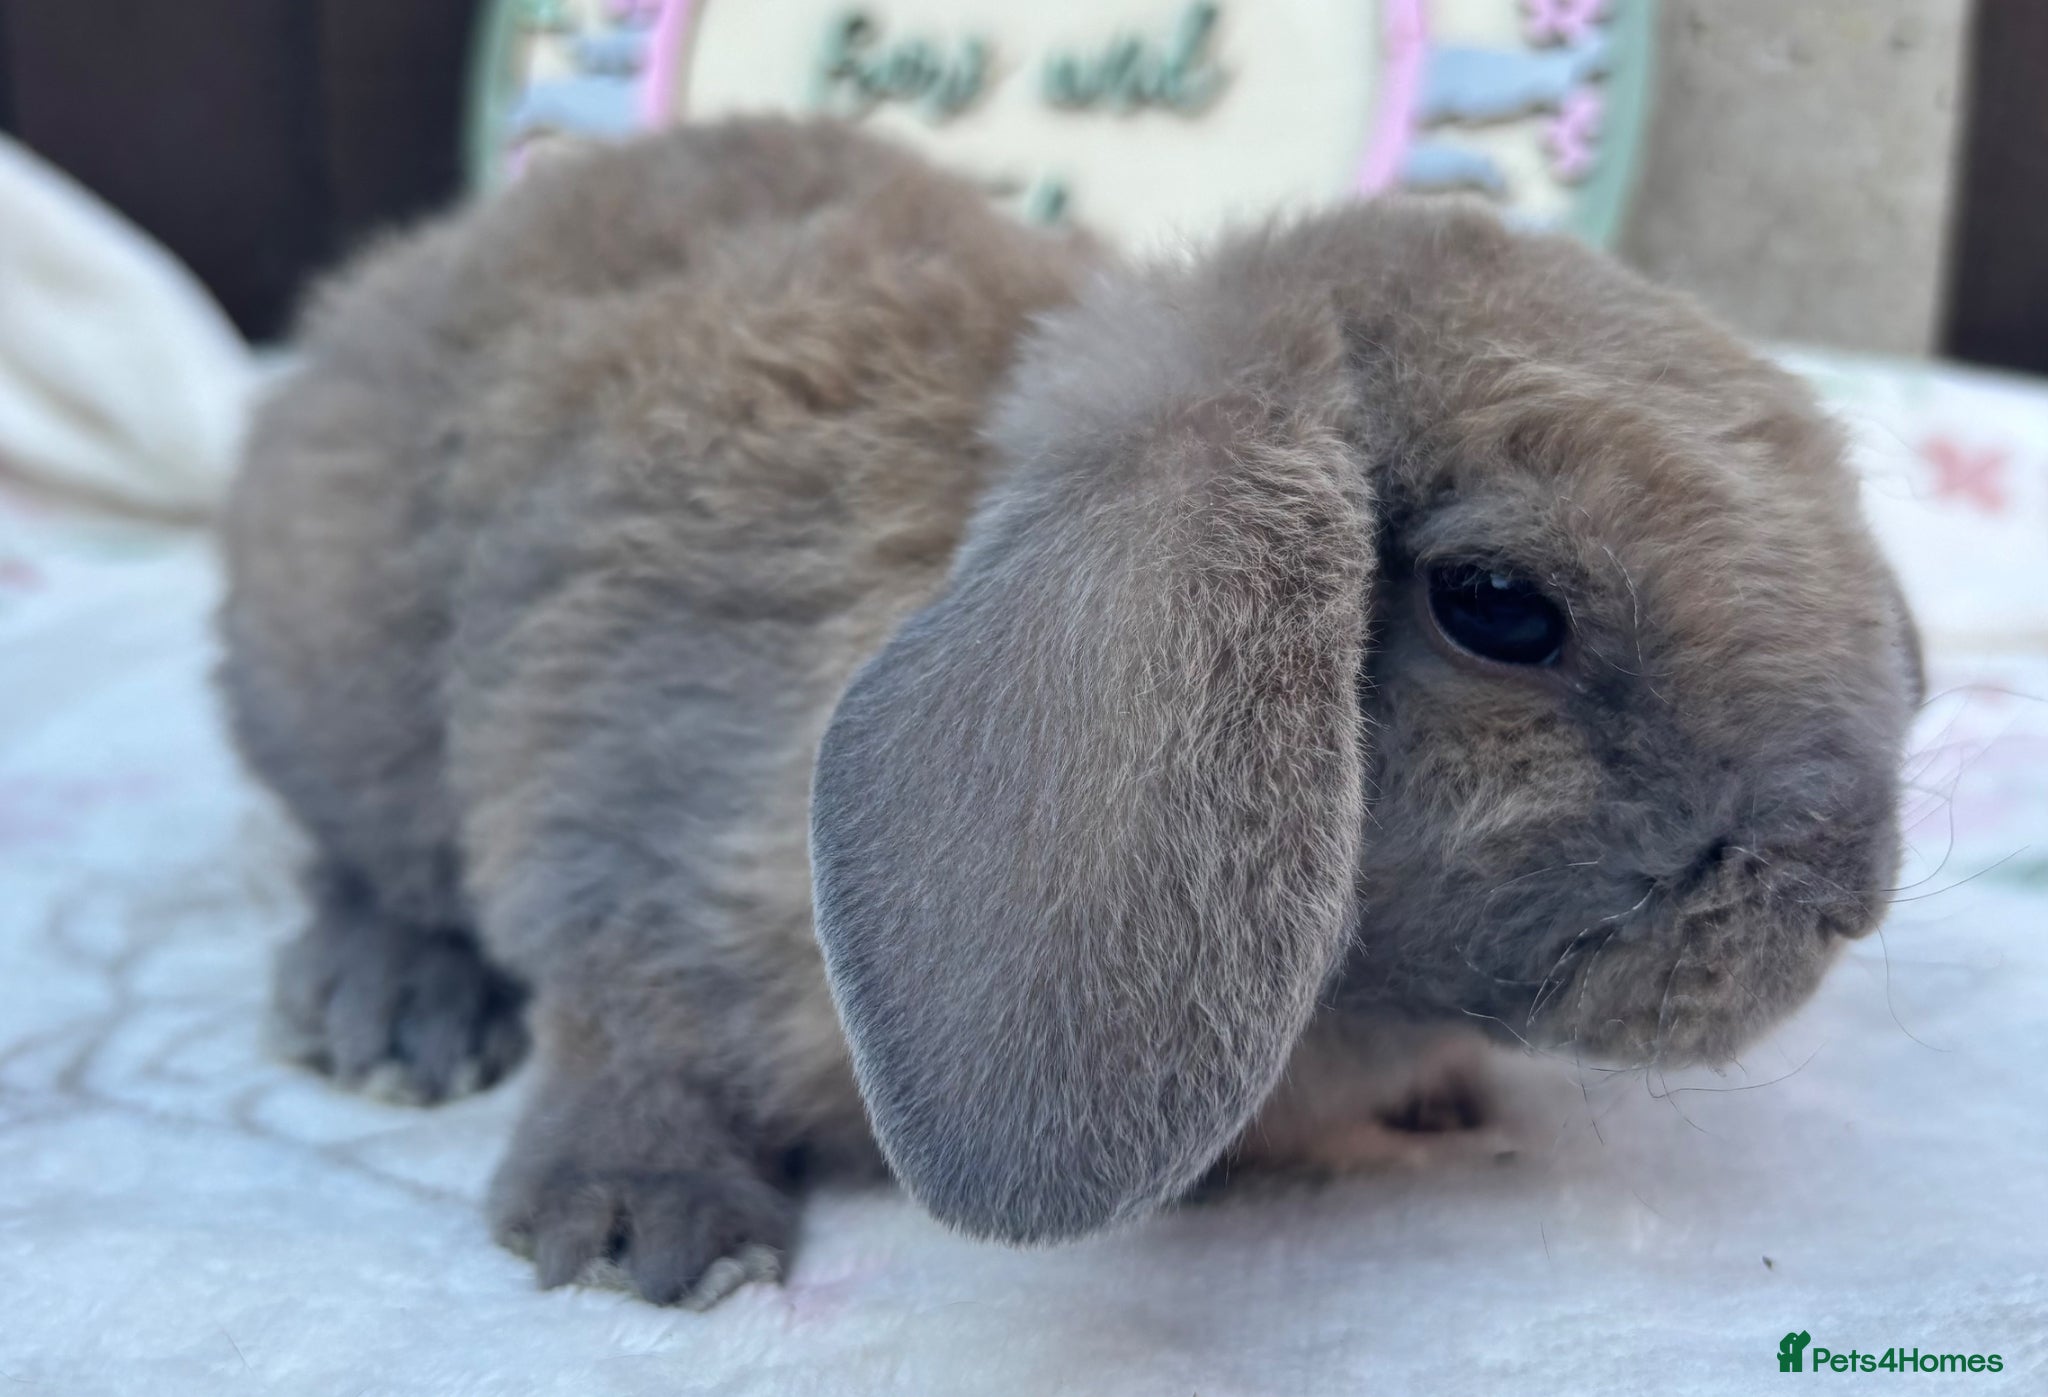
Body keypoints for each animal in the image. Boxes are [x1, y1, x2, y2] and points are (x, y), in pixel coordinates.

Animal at [219, 116, 1924, 1308]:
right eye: (1500, 606)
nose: (1844, 894)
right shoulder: (627, 813)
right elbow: (624, 1019)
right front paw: (647, 1230)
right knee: (357, 856)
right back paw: (393, 1013)